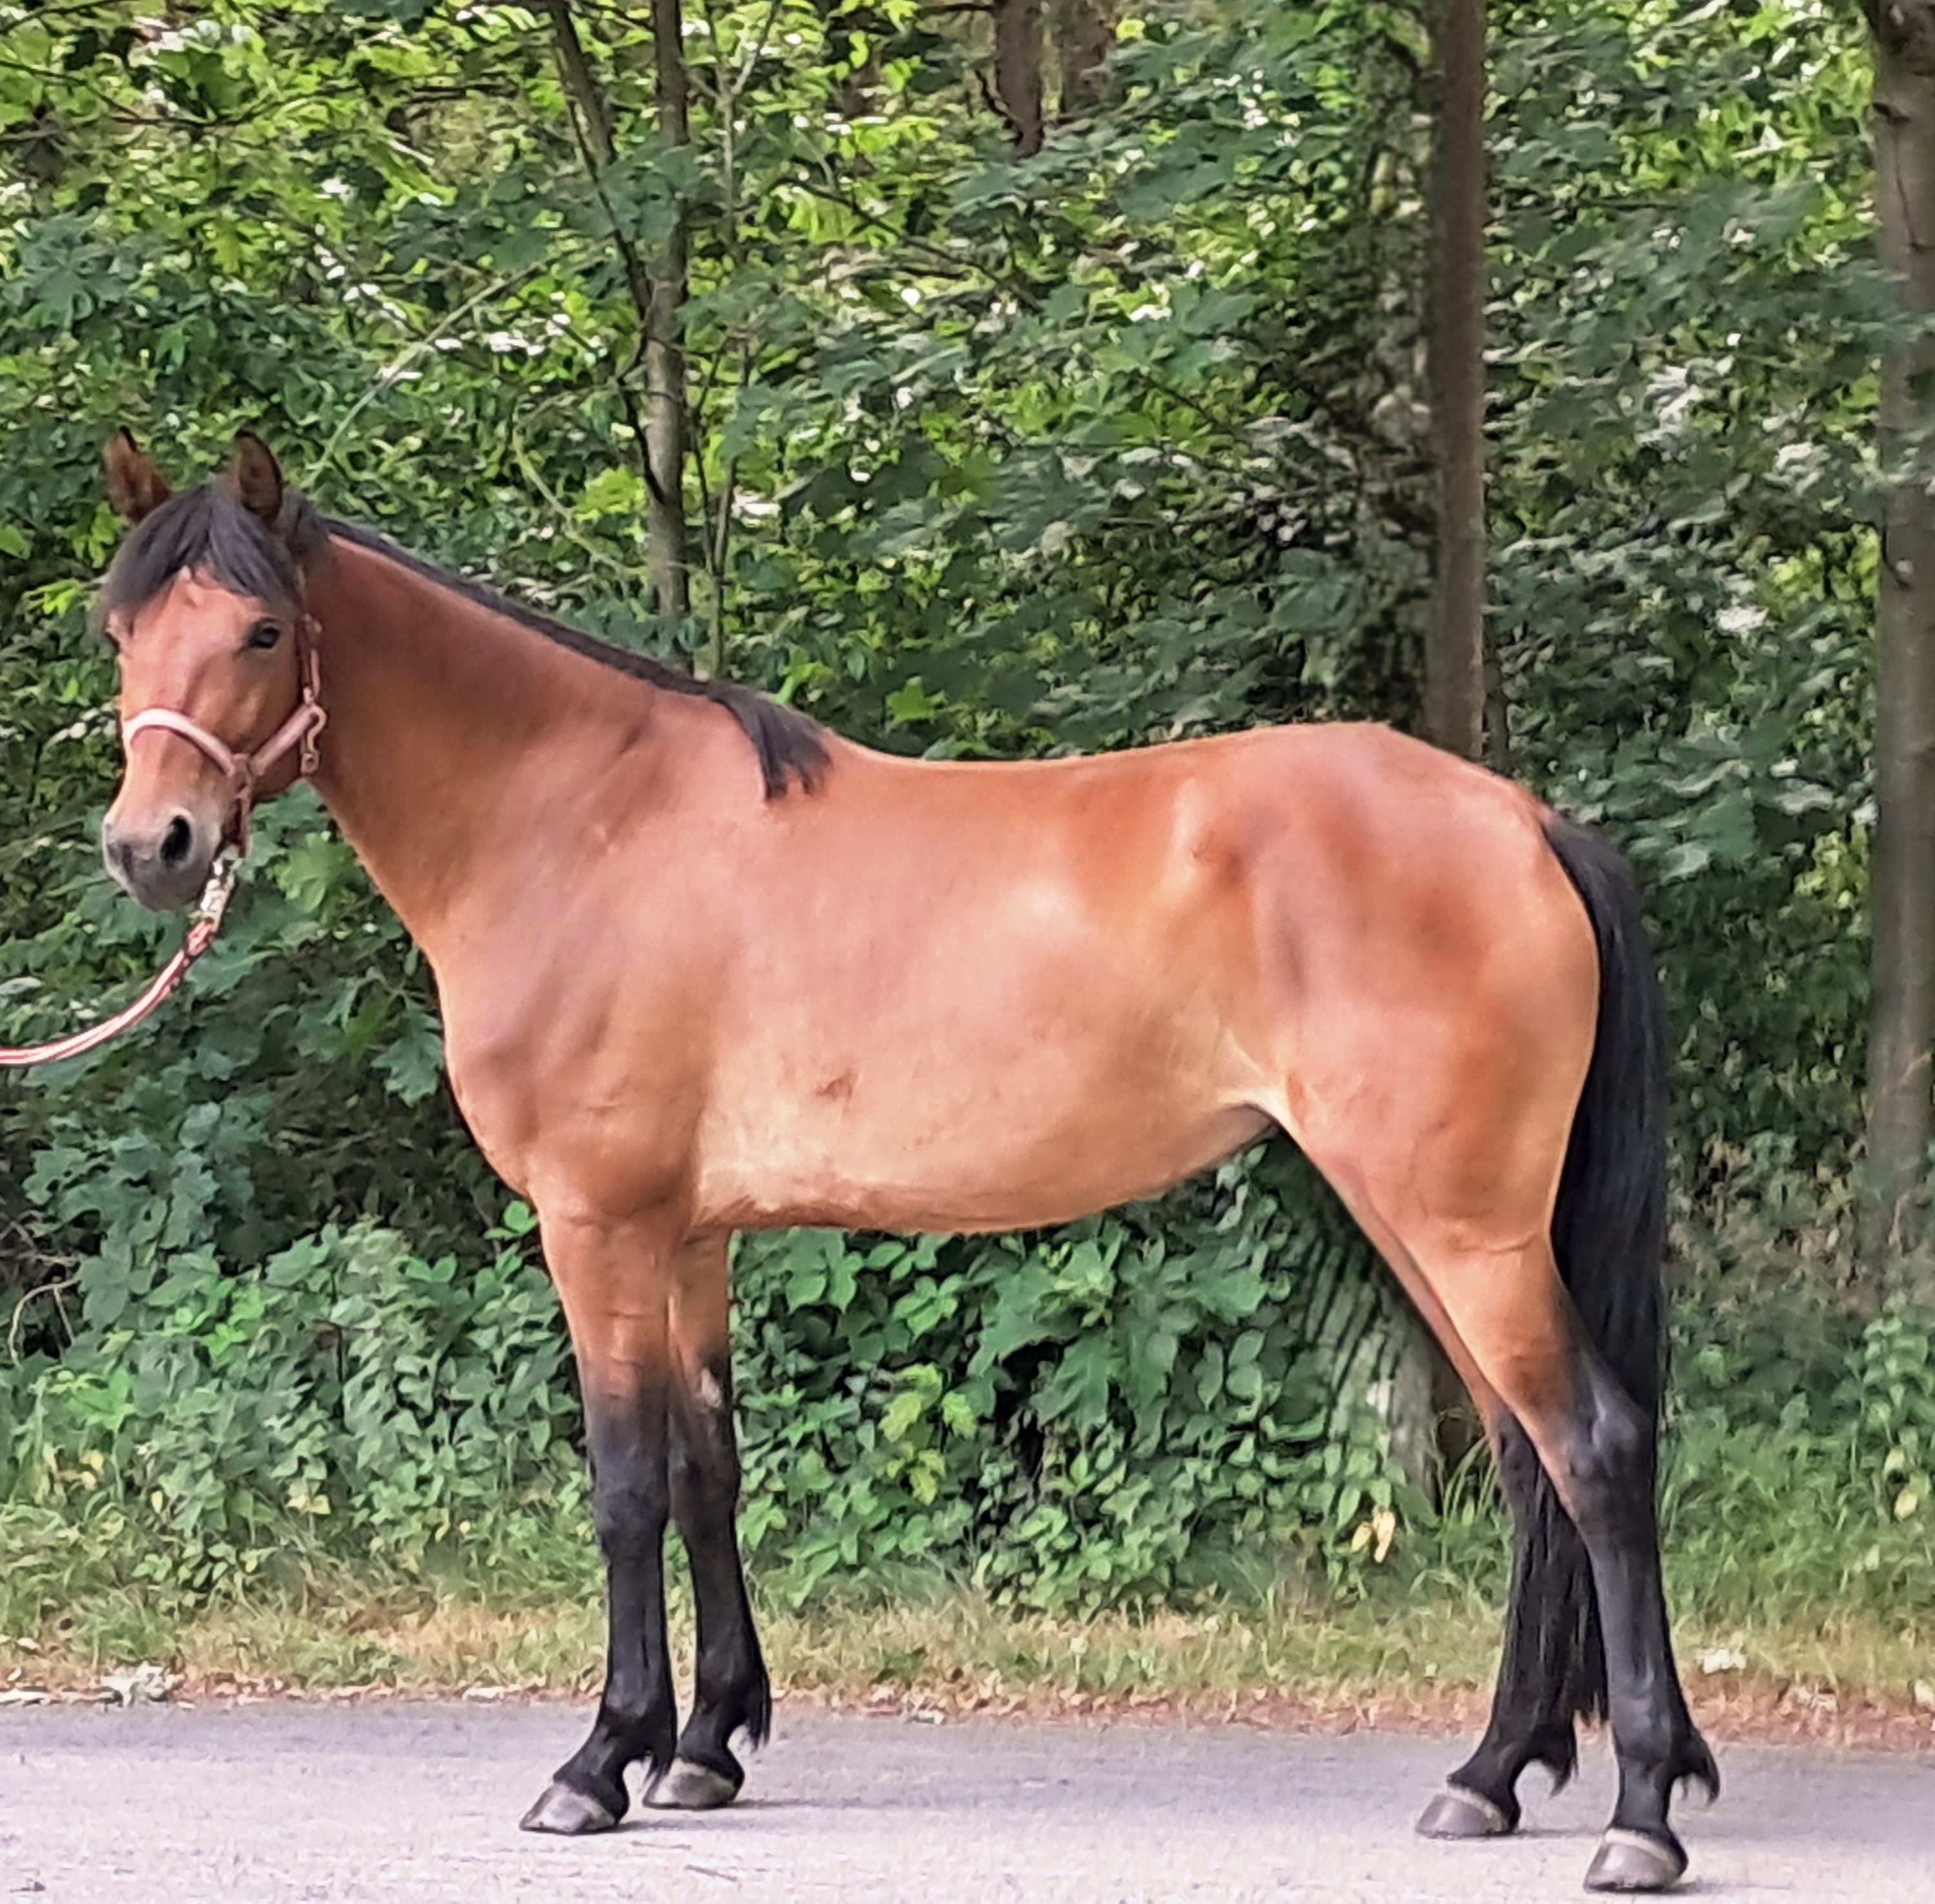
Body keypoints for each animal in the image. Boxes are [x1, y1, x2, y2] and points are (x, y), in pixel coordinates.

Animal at [90, 430, 1716, 1892]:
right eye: (122, 627)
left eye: (260, 628)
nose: (150, 844)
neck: (579, 824)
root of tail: (1523, 821)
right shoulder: (689, 1233)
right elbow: (707, 1467)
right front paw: (704, 1745)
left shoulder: (596, 1223)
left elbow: (623, 1484)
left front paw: (598, 1760)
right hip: (1437, 1225)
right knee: (1523, 1463)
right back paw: (1491, 1773)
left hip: (1460, 1225)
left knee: (1593, 1448)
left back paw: (1638, 1810)